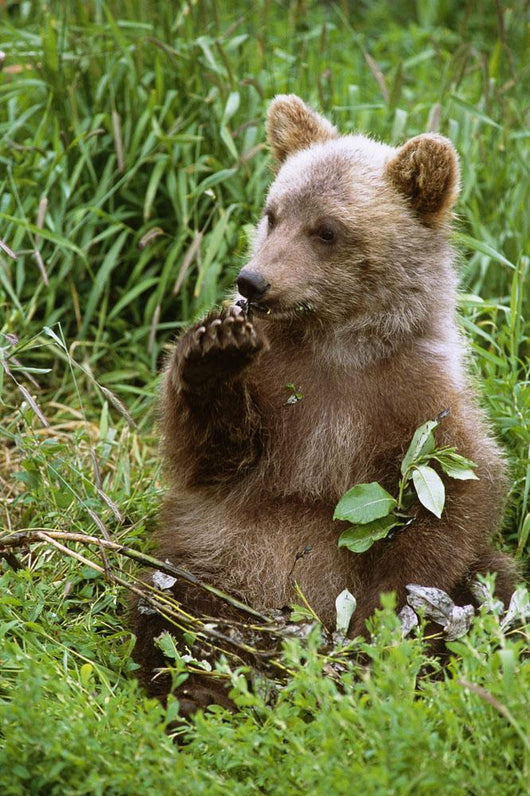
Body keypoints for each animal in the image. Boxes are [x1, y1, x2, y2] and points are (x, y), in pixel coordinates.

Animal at [131, 95, 517, 710]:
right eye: (273, 213)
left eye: (328, 230)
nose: (252, 281)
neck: (338, 343)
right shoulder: (281, 389)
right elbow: (213, 456)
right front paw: (214, 350)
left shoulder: (415, 400)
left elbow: (454, 498)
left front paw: (383, 621)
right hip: (212, 561)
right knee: (173, 610)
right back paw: (197, 686)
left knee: (494, 588)